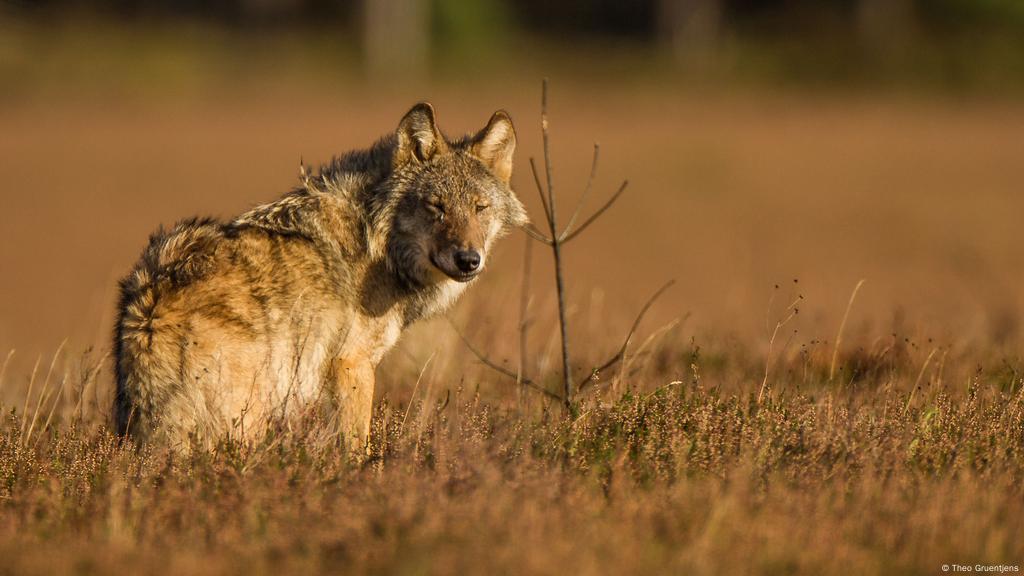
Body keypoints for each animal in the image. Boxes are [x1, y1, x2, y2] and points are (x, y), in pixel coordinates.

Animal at [113, 103, 528, 450]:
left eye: (480, 208)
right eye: (436, 207)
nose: (468, 260)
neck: (379, 239)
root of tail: (148, 308)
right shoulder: (351, 365)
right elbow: (358, 448)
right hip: (249, 414)